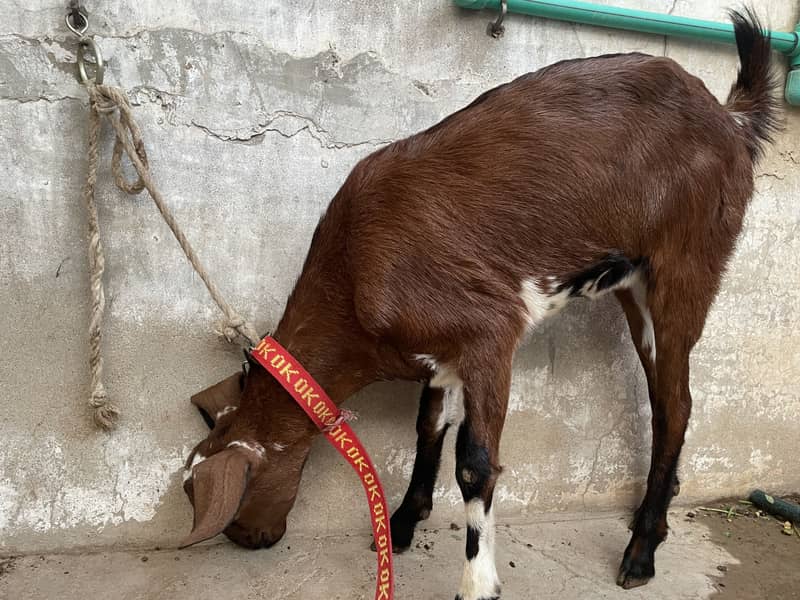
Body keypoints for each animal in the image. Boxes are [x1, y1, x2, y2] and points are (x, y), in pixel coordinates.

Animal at [181, 10, 778, 599]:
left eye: (233, 492)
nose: (247, 539)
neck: (353, 276)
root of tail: (730, 119)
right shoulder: (441, 354)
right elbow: (429, 427)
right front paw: (401, 524)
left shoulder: (490, 334)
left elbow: (473, 464)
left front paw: (476, 583)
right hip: (635, 283)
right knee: (665, 399)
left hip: (686, 267)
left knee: (675, 406)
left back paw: (642, 551)